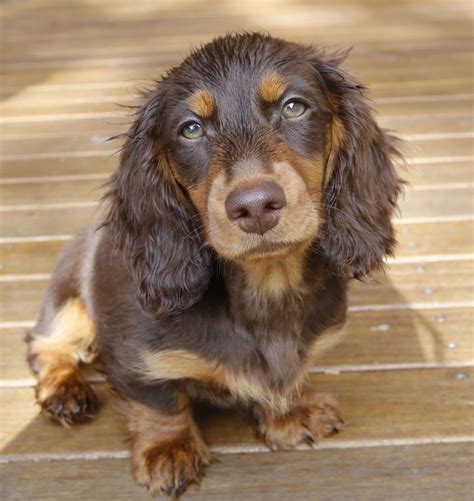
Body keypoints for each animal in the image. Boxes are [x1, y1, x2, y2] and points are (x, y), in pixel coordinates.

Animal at [25, 32, 402, 496]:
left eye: (294, 106)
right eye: (191, 129)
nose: (255, 206)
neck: (267, 284)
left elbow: (290, 374)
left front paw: (290, 410)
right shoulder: (135, 358)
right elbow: (161, 402)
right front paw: (168, 449)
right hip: (67, 298)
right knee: (47, 345)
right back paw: (65, 391)